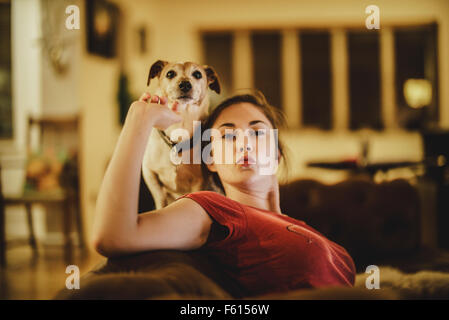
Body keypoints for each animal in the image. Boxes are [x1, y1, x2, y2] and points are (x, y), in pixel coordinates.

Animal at [142, 60, 220, 209]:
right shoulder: (150, 174)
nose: (185, 84)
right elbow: (160, 199)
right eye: (170, 73)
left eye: (197, 74)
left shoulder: (199, 182)